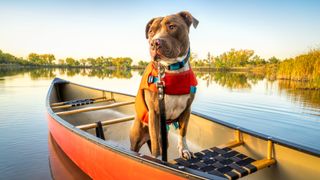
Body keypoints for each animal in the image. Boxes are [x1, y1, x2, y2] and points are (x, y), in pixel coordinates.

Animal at [129, 11, 198, 159]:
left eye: (172, 26)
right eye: (151, 32)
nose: (155, 43)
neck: (171, 69)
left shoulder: (187, 110)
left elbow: (183, 132)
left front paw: (184, 149)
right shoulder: (154, 113)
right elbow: (156, 141)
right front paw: (158, 159)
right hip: (136, 138)